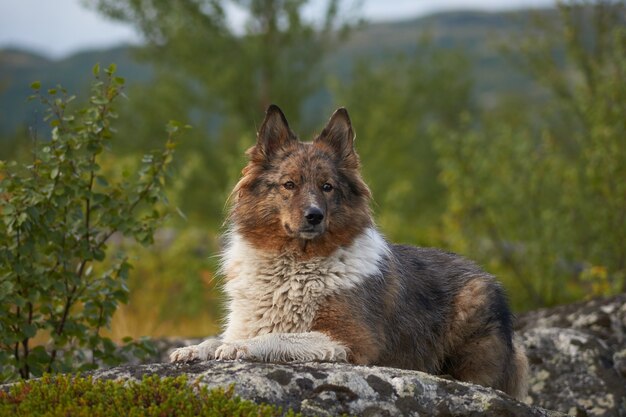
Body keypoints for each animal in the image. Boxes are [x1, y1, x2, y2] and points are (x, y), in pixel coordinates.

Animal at [169, 105, 528, 400]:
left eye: (327, 187)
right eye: (289, 185)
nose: (315, 215)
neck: (295, 264)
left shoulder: (351, 341)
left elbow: (281, 337)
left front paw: (240, 347)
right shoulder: (247, 321)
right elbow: (221, 338)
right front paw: (196, 348)